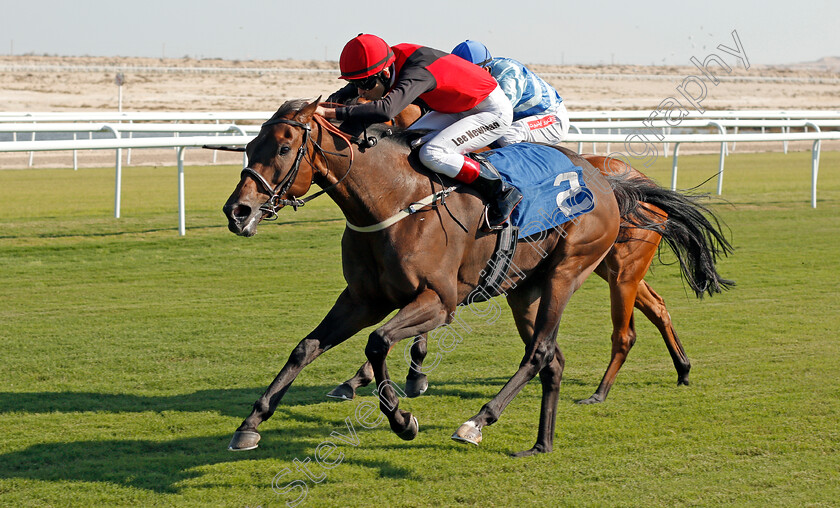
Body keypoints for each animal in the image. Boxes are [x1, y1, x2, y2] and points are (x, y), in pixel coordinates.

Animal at [221, 98, 720, 456]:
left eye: (283, 148)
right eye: (249, 147)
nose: (237, 211)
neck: (394, 201)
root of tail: (607, 180)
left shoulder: (438, 302)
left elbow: (379, 343)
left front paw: (402, 419)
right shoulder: (363, 299)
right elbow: (306, 347)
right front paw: (251, 423)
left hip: (575, 270)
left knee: (546, 350)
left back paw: (480, 420)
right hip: (526, 289)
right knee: (558, 355)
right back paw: (542, 442)